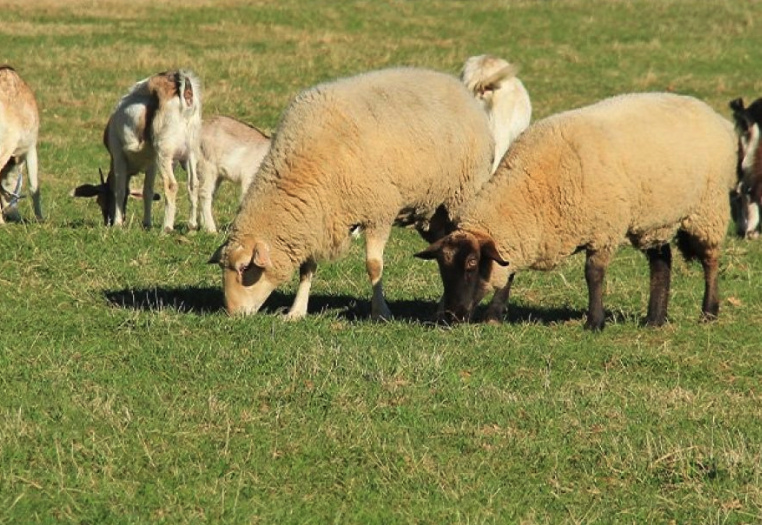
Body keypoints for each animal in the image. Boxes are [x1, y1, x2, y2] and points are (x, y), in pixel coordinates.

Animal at [71, 68, 200, 231]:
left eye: (99, 200)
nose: (108, 222)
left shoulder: (118, 155)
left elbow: (119, 189)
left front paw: (118, 224)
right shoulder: (152, 164)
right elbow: (147, 191)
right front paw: (147, 224)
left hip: (164, 154)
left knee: (171, 185)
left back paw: (166, 228)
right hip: (191, 153)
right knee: (194, 184)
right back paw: (192, 226)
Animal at [208, 65, 492, 320]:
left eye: (245, 268)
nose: (232, 313)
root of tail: (455, 84)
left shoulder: (378, 210)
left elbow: (374, 266)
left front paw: (381, 313)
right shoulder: (318, 218)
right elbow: (307, 269)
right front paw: (296, 312)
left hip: (460, 196)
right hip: (432, 212)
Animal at [416, 90, 736, 328]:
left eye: (472, 264)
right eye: (441, 266)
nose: (451, 316)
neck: (534, 190)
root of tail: (711, 113)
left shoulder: (604, 231)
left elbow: (593, 274)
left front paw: (594, 322)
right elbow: (509, 271)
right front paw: (494, 316)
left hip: (708, 208)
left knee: (710, 259)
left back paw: (709, 312)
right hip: (653, 219)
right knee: (662, 261)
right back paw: (654, 319)